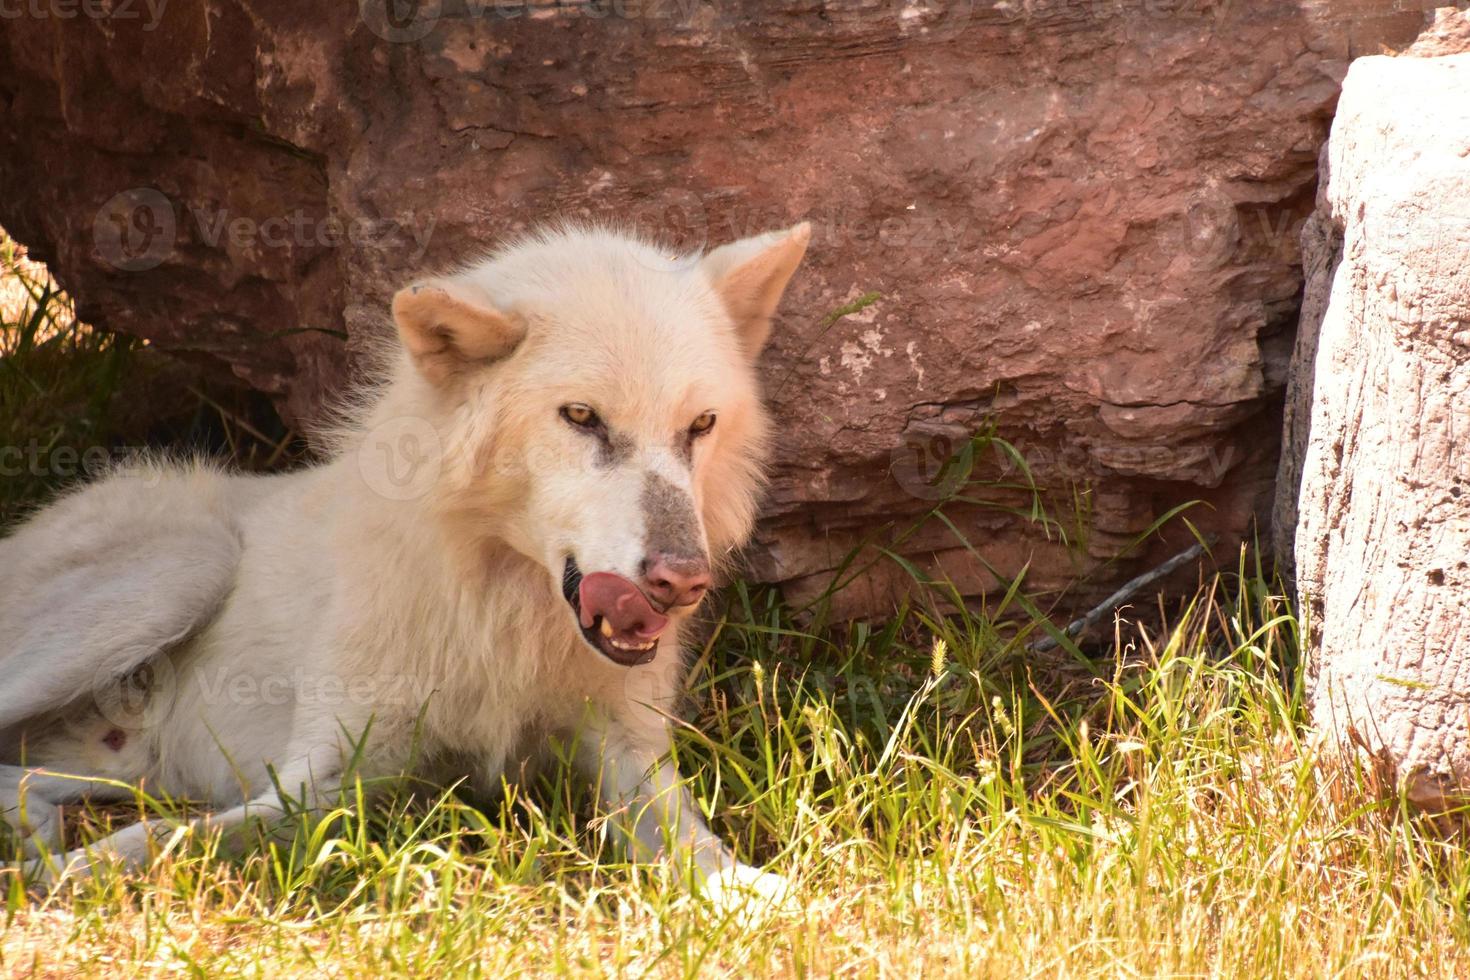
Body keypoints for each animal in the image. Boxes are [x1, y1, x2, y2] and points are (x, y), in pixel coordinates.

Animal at [0, 221, 805, 905]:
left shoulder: (631, 759)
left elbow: (694, 841)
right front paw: (65, 878)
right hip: (181, 571)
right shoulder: (316, 780)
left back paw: (31, 828)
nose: (683, 580)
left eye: (699, 425)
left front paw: (756, 895)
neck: (499, 615)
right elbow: (168, 837)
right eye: (582, 418)